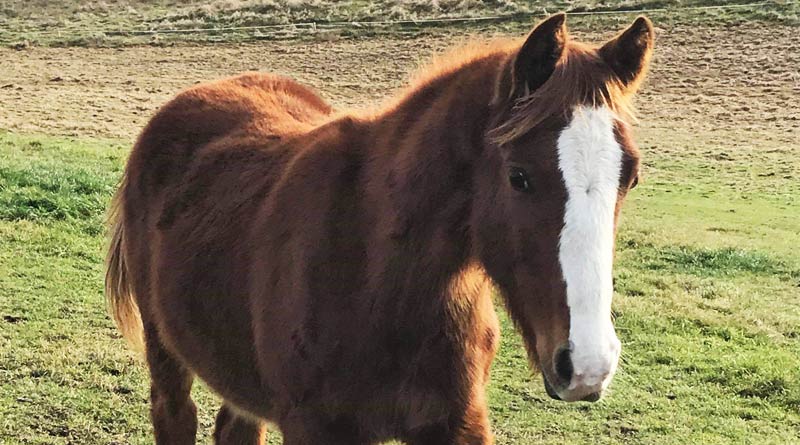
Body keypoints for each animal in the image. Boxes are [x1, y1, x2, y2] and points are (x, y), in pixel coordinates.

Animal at [106, 13, 654, 445]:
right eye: (518, 176)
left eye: (631, 176)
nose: (587, 364)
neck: (380, 277)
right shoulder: (316, 429)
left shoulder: (458, 422)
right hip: (166, 352)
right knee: (174, 414)